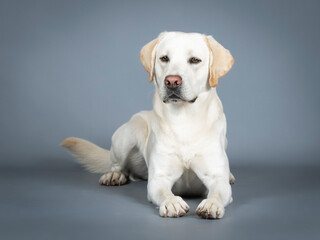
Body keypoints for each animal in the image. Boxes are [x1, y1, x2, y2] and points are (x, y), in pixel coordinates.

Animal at [60, 31, 235, 219]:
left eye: (195, 60)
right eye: (164, 58)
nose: (172, 81)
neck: (184, 119)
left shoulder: (217, 178)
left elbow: (218, 191)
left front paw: (212, 204)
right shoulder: (159, 179)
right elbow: (164, 192)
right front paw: (172, 202)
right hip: (127, 134)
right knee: (117, 164)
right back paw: (114, 175)